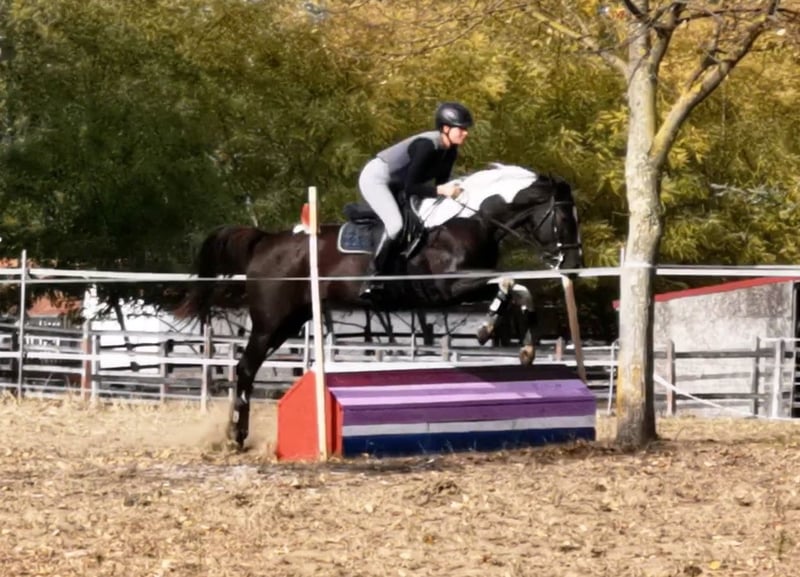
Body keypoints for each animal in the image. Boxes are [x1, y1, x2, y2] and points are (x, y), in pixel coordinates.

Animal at [175, 163, 583, 447]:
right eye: (565, 218)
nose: (575, 266)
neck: (469, 220)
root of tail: (264, 241)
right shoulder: (449, 287)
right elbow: (510, 280)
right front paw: (486, 330)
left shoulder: (468, 285)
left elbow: (519, 288)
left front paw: (526, 347)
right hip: (270, 320)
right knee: (245, 367)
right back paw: (236, 437)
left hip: (291, 320)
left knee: (248, 367)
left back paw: (234, 433)